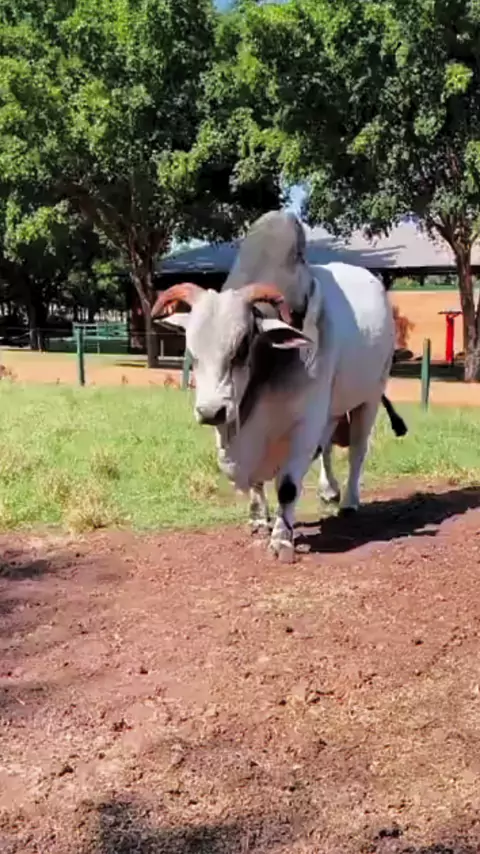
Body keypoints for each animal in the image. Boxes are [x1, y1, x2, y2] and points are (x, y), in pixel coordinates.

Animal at [152, 211, 407, 561]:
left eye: (242, 346)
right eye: (192, 349)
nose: (210, 412)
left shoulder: (305, 420)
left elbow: (287, 485)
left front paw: (282, 539)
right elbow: (256, 481)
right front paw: (259, 520)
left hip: (368, 396)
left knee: (357, 450)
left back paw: (349, 501)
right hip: (332, 408)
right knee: (328, 446)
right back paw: (329, 490)